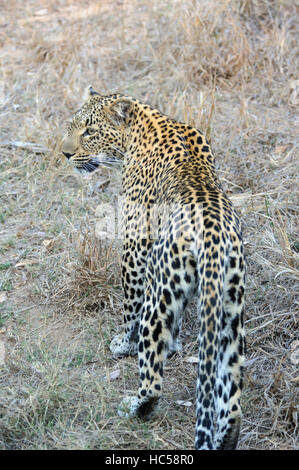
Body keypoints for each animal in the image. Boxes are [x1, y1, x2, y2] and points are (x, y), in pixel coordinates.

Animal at [61, 86, 246, 450]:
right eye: (75, 126)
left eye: (89, 131)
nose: (65, 153)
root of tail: (214, 239)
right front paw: (174, 344)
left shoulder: (135, 249)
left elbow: (129, 306)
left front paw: (123, 342)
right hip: (230, 313)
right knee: (231, 399)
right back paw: (226, 438)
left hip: (159, 298)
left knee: (152, 379)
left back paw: (134, 407)